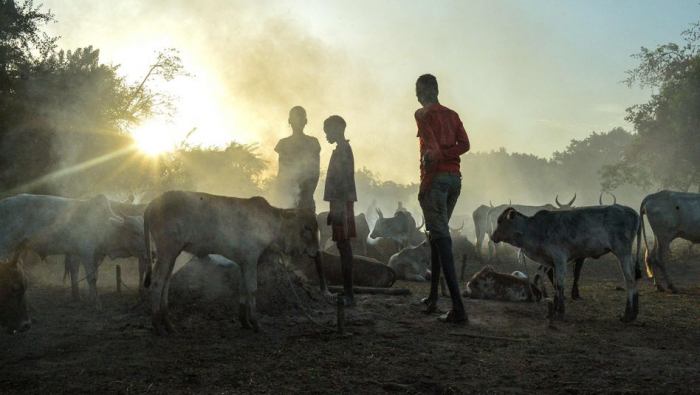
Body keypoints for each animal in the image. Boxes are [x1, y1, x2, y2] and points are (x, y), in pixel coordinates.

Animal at [0, 195, 148, 310]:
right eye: (135, 232)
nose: (150, 251)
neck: (104, 226)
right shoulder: (86, 253)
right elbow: (92, 278)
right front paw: (95, 303)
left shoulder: (95, 255)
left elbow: (94, 276)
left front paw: (93, 298)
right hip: (5, 246)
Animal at [143, 191, 328, 334]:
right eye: (306, 227)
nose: (317, 251)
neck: (272, 225)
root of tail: (151, 204)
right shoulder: (251, 259)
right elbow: (252, 289)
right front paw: (256, 323)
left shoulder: (243, 263)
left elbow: (242, 288)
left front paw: (245, 322)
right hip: (167, 251)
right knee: (157, 282)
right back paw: (158, 326)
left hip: (173, 253)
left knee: (166, 282)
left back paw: (168, 325)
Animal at [490, 206, 644, 324]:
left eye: (499, 221)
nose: (492, 236)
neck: (535, 229)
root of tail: (633, 212)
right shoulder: (553, 263)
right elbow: (555, 284)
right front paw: (553, 311)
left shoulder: (560, 259)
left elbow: (560, 285)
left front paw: (560, 313)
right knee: (634, 276)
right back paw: (634, 313)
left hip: (622, 252)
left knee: (629, 278)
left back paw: (627, 315)